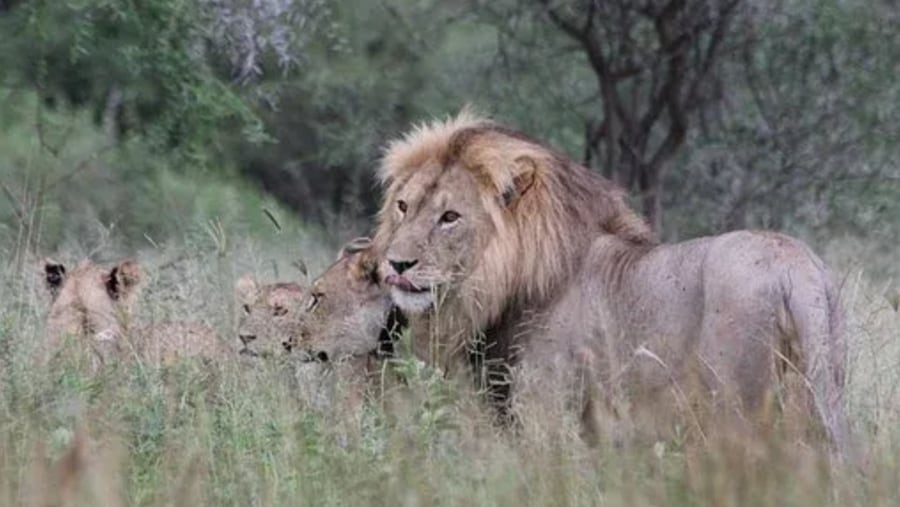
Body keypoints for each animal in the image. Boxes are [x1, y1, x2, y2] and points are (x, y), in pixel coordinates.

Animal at [372, 113, 852, 458]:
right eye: (403, 206)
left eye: (450, 217)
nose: (396, 263)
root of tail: (797, 268)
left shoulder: (548, 407)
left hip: (739, 406)